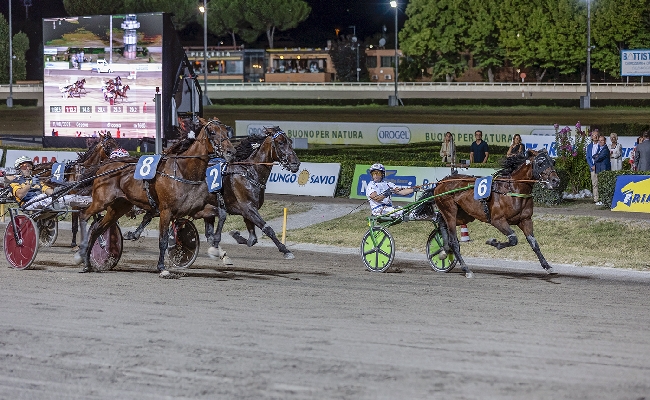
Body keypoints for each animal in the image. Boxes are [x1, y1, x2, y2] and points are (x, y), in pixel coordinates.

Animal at [78, 119, 235, 276]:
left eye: (226, 131)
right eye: (212, 132)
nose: (231, 152)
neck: (184, 172)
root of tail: (103, 167)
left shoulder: (196, 208)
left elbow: (221, 214)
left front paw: (217, 248)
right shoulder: (166, 211)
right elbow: (163, 240)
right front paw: (162, 267)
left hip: (118, 207)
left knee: (97, 229)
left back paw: (87, 263)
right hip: (101, 201)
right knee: (84, 215)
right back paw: (81, 253)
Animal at [430, 149, 556, 278]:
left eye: (553, 162)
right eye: (541, 163)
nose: (555, 180)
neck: (513, 190)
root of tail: (441, 182)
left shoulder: (525, 220)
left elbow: (533, 243)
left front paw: (547, 266)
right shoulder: (498, 220)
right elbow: (513, 239)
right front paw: (493, 242)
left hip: (463, 216)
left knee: (442, 223)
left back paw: (444, 249)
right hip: (450, 211)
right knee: (453, 241)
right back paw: (466, 269)